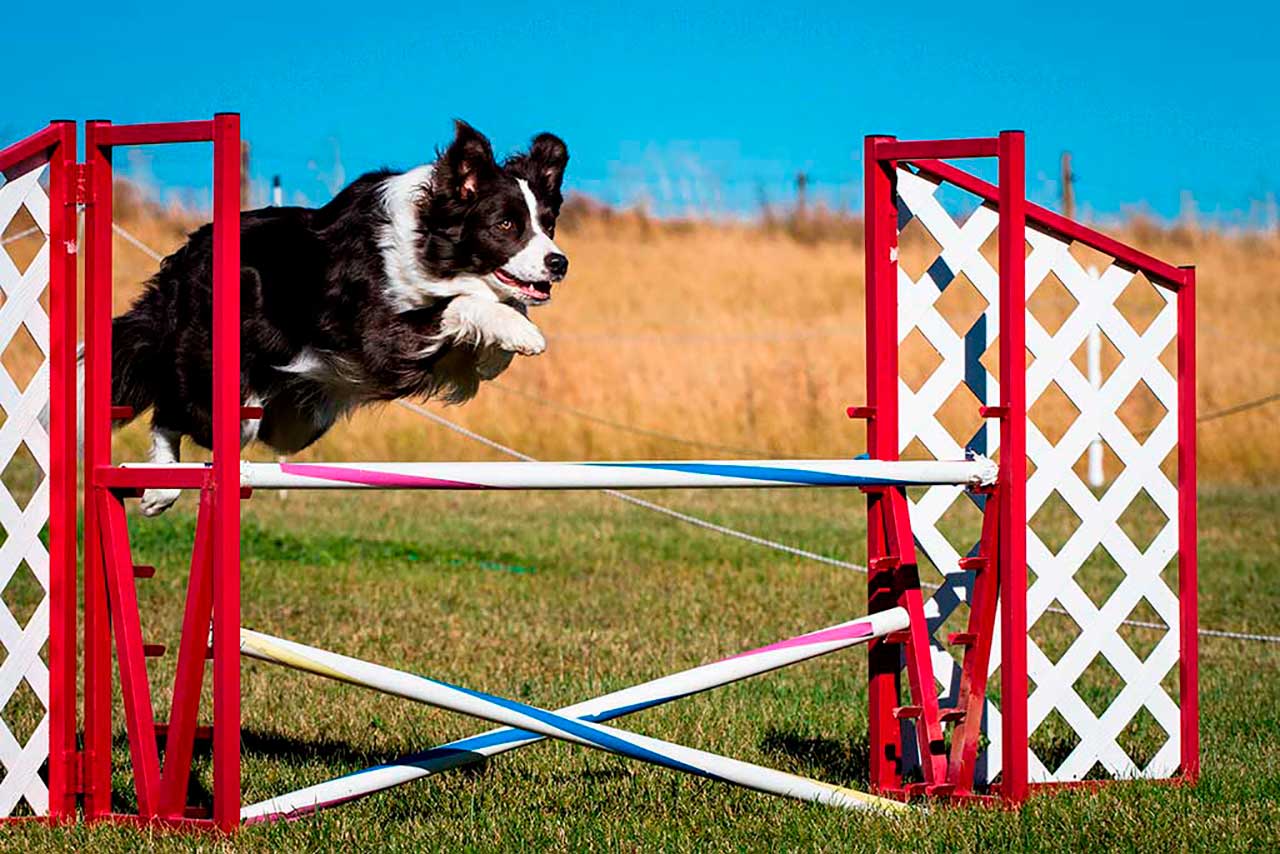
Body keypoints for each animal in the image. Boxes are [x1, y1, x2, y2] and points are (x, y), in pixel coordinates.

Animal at [107, 121, 568, 514]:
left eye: (548, 225)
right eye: (505, 224)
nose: (559, 263)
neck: (430, 243)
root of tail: (181, 262)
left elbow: (492, 312)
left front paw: (497, 351)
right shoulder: (379, 334)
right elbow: (460, 304)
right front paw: (521, 334)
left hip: (296, 418)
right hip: (227, 388)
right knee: (172, 411)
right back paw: (160, 489)